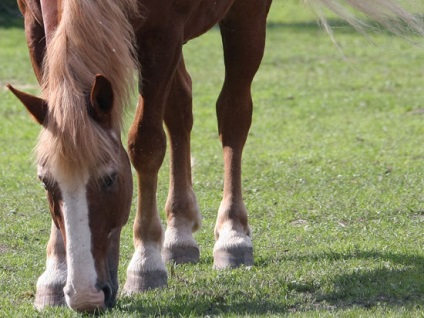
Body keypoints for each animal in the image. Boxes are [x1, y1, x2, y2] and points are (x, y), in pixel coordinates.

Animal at [7, 0, 424, 314]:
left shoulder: (161, 34)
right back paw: (178, 233)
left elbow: (146, 144)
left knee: (233, 114)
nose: (87, 296)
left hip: (244, 19)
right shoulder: (35, 26)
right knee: (181, 106)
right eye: (45, 182)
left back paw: (233, 236)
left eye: (110, 178)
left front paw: (146, 263)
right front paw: (55, 274)